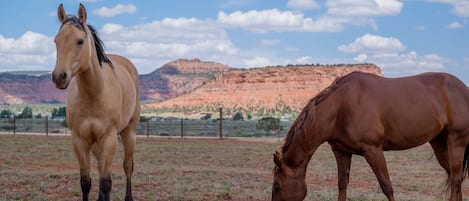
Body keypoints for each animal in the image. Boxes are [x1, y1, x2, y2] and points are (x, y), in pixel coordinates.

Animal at [51, 3, 139, 201]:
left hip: (129, 132)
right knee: (100, 167)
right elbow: (86, 182)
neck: (93, 95)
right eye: (56, 41)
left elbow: (106, 182)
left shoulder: (109, 139)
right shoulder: (80, 140)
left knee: (128, 166)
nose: (59, 77)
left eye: (80, 41)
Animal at [270, 71, 468, 200]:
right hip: (439, 142)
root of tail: (462, 87)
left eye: (277, 186)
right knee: (454, 178)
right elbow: (342, 184)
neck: (341, 107)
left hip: (456, 141)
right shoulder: (341, 152)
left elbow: (387, 186)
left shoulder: (373, 150)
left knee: (456, 178)